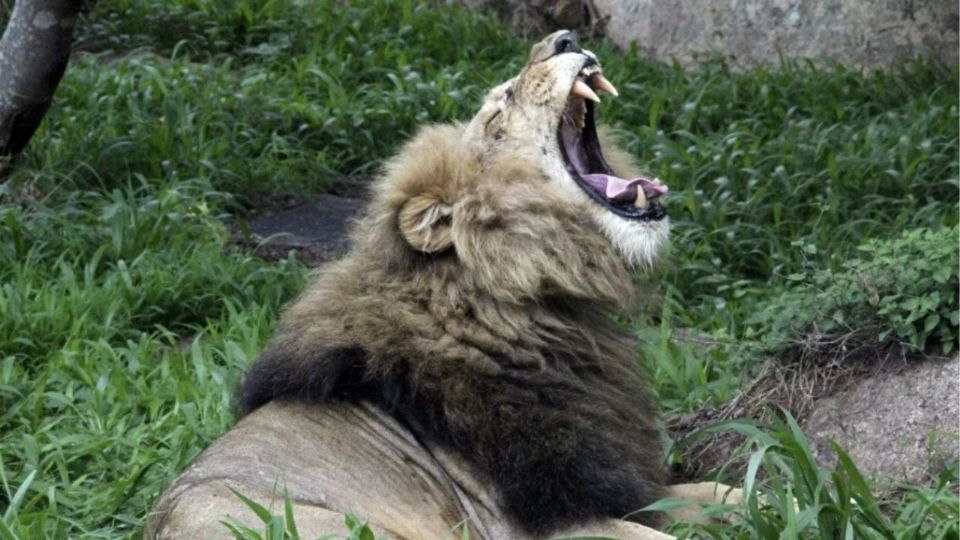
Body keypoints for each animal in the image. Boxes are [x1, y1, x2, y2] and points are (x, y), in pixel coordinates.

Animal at [144, 30, 744, 540]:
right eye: (500, 109)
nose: (565, 38)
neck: (535, 307)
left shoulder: (625, 486)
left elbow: (722, 493)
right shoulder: (544, 520)